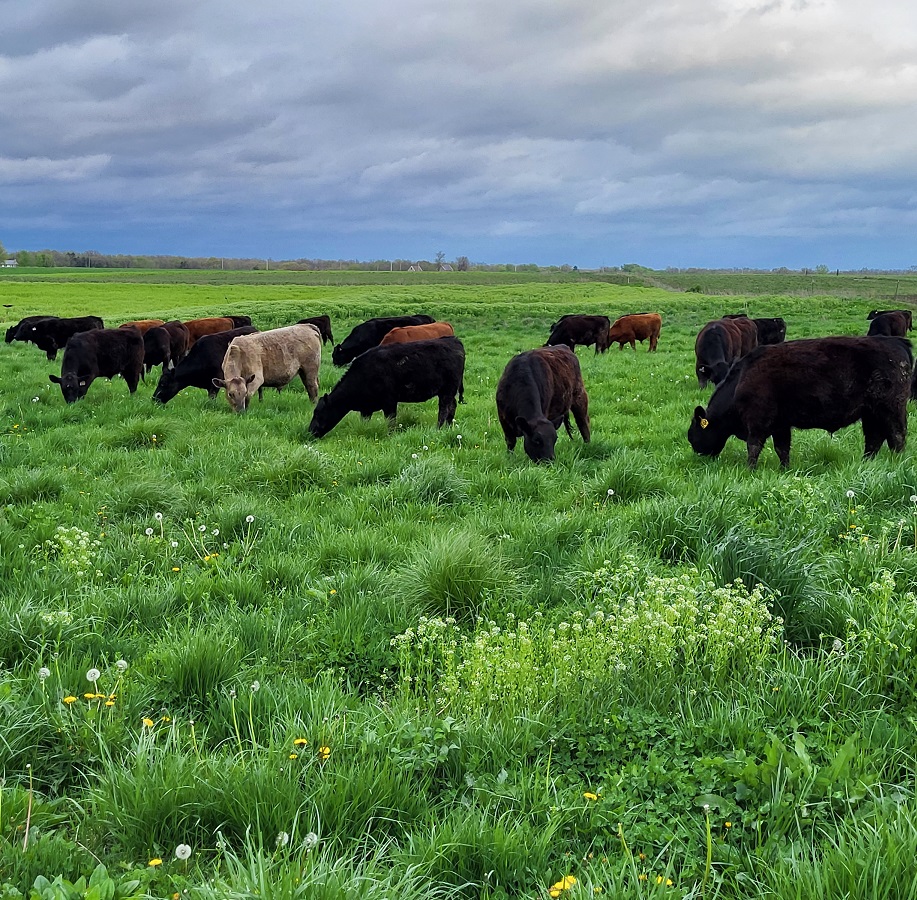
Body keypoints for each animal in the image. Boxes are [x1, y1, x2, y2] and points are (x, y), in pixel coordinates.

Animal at [310, 336, 466, 438]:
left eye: (317, 413)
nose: (310, 431)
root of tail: (453, 340)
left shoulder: (389, 402)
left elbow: (391, 421)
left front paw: (391, 435)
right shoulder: (366, 408)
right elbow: (364, 422)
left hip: (448, 389)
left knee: (444, 409)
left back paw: (438, 428)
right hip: (448, 391)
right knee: (452, 405)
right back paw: (448, 426)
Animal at [688, 334, 908, 468]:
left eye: (693, 435)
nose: (698, 456)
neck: (741, 380)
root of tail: (898, 342)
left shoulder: (757, 423)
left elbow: (753, 447)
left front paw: (750, 469)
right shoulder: (780, 425)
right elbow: (782, 449)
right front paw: (784, 469)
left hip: (891, 409)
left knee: (897, 437)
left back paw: (897, 463)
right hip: (871, 413)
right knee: (874, 440)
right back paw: (866, 464)